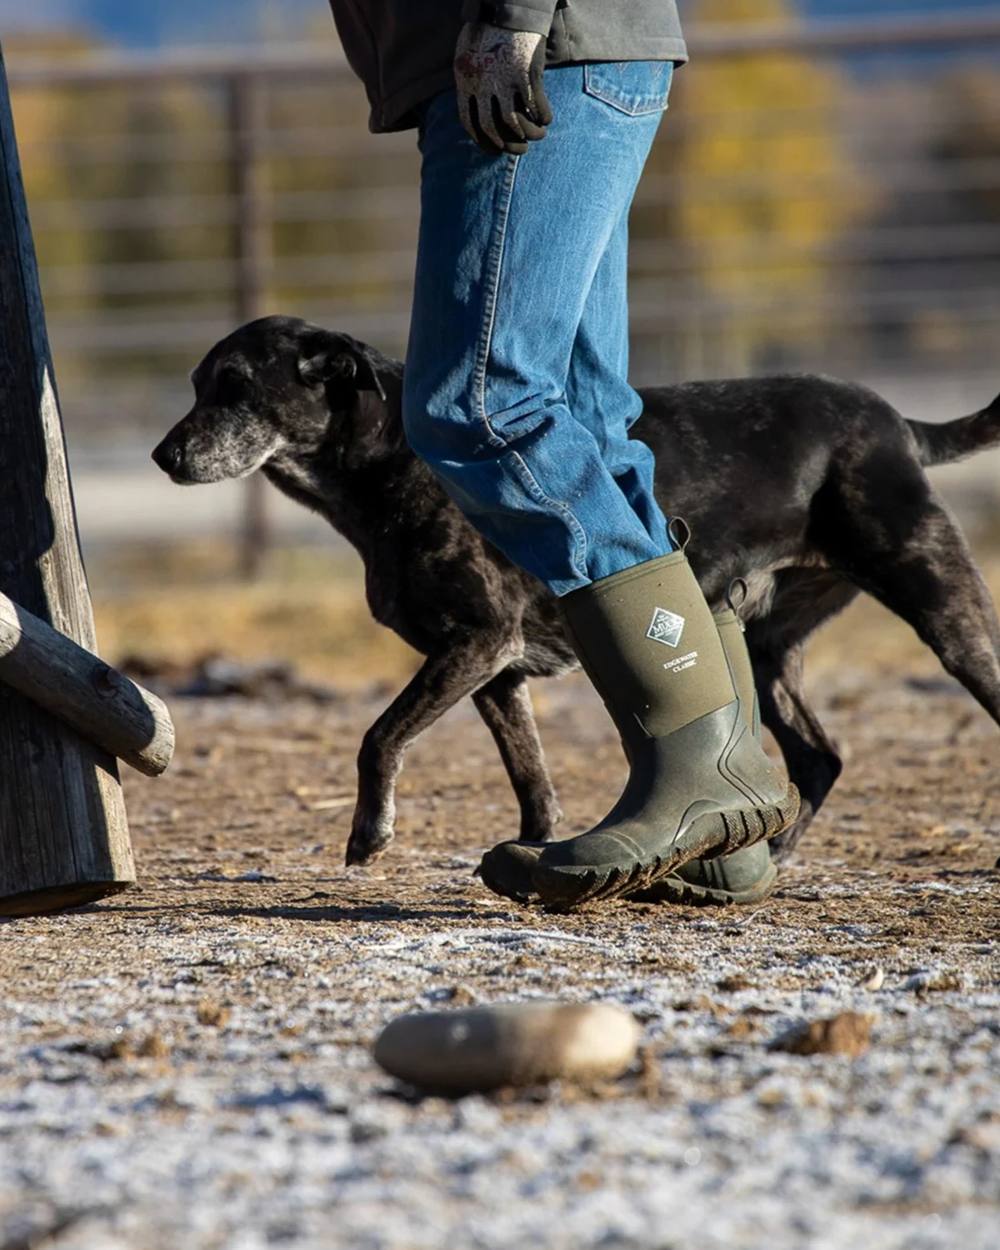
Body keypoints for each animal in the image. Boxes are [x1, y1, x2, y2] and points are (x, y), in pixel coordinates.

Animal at [150, 315, 1000, 870]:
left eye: (234, 386)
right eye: (195, 385)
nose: (162, 456)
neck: (393, 463)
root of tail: (898, 421)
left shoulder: (477, 641)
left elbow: (379, 735)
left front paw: (370, 834)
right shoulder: (497, 673)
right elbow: (532, 778)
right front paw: (532, 853)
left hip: (939, 601)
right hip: (763, 645)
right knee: (820, 759)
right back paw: (774, 850)